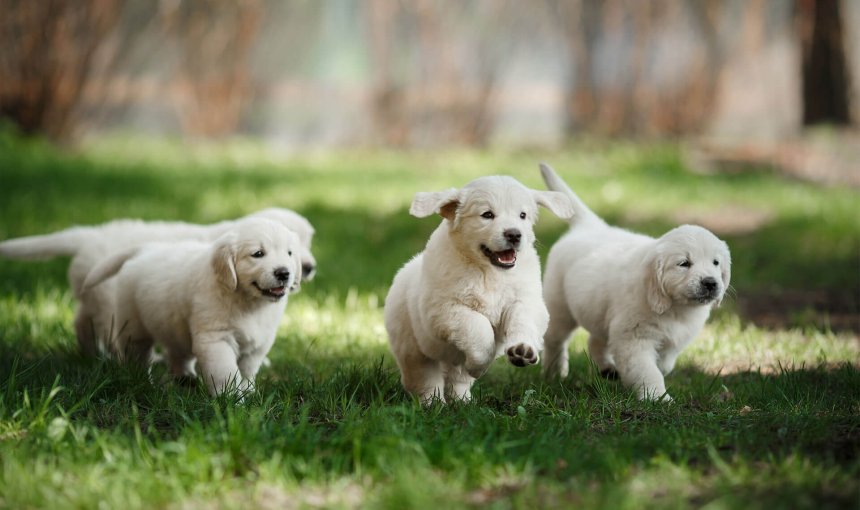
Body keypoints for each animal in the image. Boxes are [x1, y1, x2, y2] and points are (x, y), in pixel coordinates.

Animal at [0, 205, 314, 356]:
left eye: (307, 242)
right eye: (259, 253)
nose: (308, 268)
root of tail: (88, 235)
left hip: (92, 293)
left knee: (80, 320)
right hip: (109, 299)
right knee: (107, 329)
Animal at [81, 217, 302, 396]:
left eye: (290, 253)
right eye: (258, 254)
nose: (284, 273)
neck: (248, 302)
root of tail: (146, 250)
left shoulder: (259, 343)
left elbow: (247, 370)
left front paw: (249, 392)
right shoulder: (216, 339)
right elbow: (226, 372)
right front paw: (231, 400)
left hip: (174, 326)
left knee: (178, 354)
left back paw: (185, 379)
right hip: (133, 326)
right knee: (137, 355)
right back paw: (142, 381)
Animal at [384, 175, 576, 402]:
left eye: (522, 215)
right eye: (487, 215)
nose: (514, 234)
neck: (488, 271)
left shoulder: (525, 300)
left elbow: (523, 320)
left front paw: (522, 350)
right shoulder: (443, 310)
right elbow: (478, 326)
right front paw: (480, 365)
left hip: (451, 362)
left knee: (457, 379)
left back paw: (463, 401)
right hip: (413, 348)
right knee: (425, 379)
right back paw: (434, 403)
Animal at [536, 163, 732, 402]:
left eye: (716, 262)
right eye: (684, 263)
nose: (711, 283)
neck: (674, 308)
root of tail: (590, 226)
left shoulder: (672, 341)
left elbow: (664, 364)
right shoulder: (634, 338)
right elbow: (648, 370)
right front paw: (657, 398)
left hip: (599, 311)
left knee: (595, 341)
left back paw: (607, 369)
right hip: (559, 306)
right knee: (554, 340)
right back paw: (554, 373)